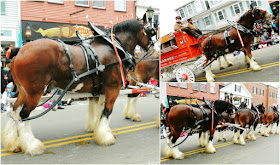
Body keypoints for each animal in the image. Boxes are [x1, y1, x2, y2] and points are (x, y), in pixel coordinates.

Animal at [1, 14, 154, 156]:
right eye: (151, 31)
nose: (154, 48)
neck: (114, 46)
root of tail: (20, 51)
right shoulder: (113, 88)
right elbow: (107, 111)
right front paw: (105, 137)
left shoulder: (100, 91)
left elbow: (98, 111)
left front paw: (96, 129)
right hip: (35, 93)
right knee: (24, 114)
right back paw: (32, 145)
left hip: (23, 92)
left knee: (15, 110)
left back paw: (12, 142)